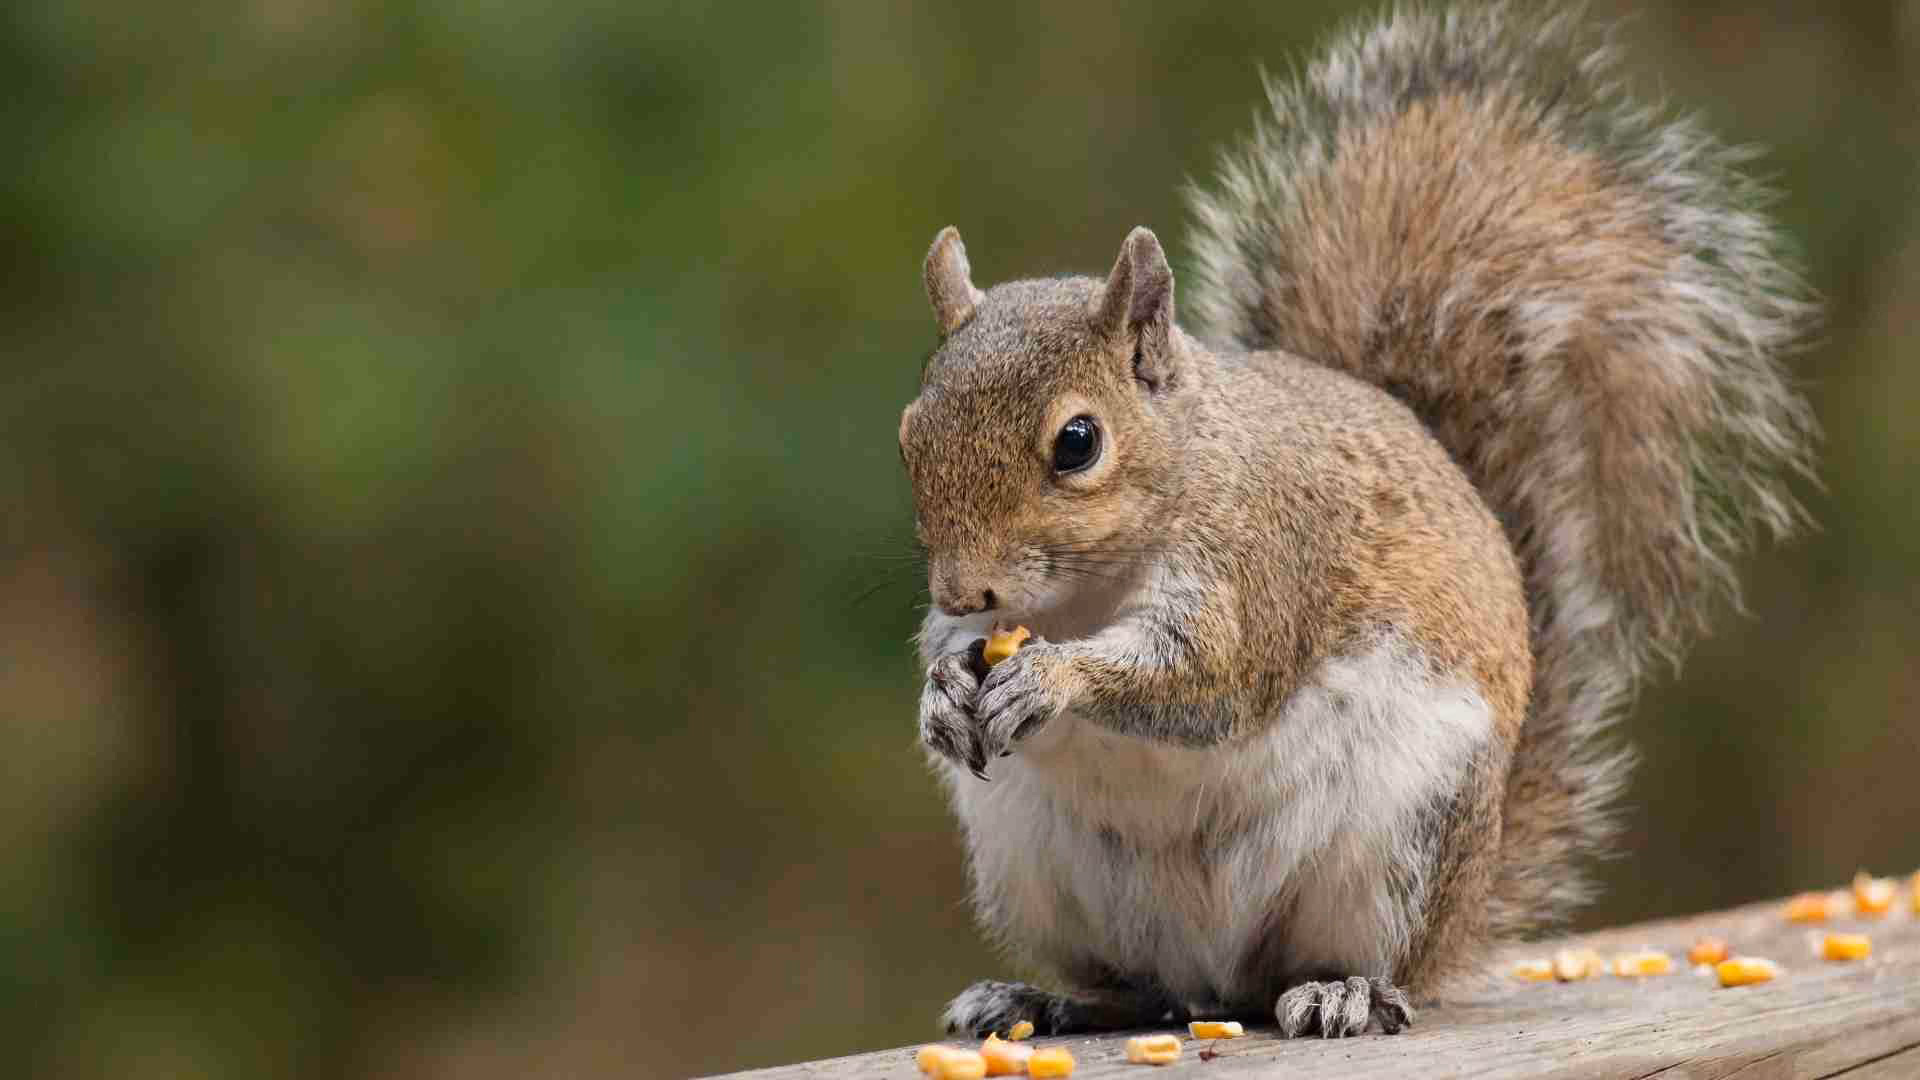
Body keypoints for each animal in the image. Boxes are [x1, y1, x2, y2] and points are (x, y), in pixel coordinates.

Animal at [898, 3, 1814, 1039]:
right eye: (910, 432)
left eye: (1079, 443)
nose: (960, 588)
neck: (1090, 589)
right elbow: (963, 654)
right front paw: (942, 688)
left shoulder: (1263, 564)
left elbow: (1205, 678)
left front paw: (1051, 678)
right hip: (1036, 867)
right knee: (1138, 987)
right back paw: (1041, 998)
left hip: (1400, 844)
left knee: (1344, 965)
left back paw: (1344, 989)